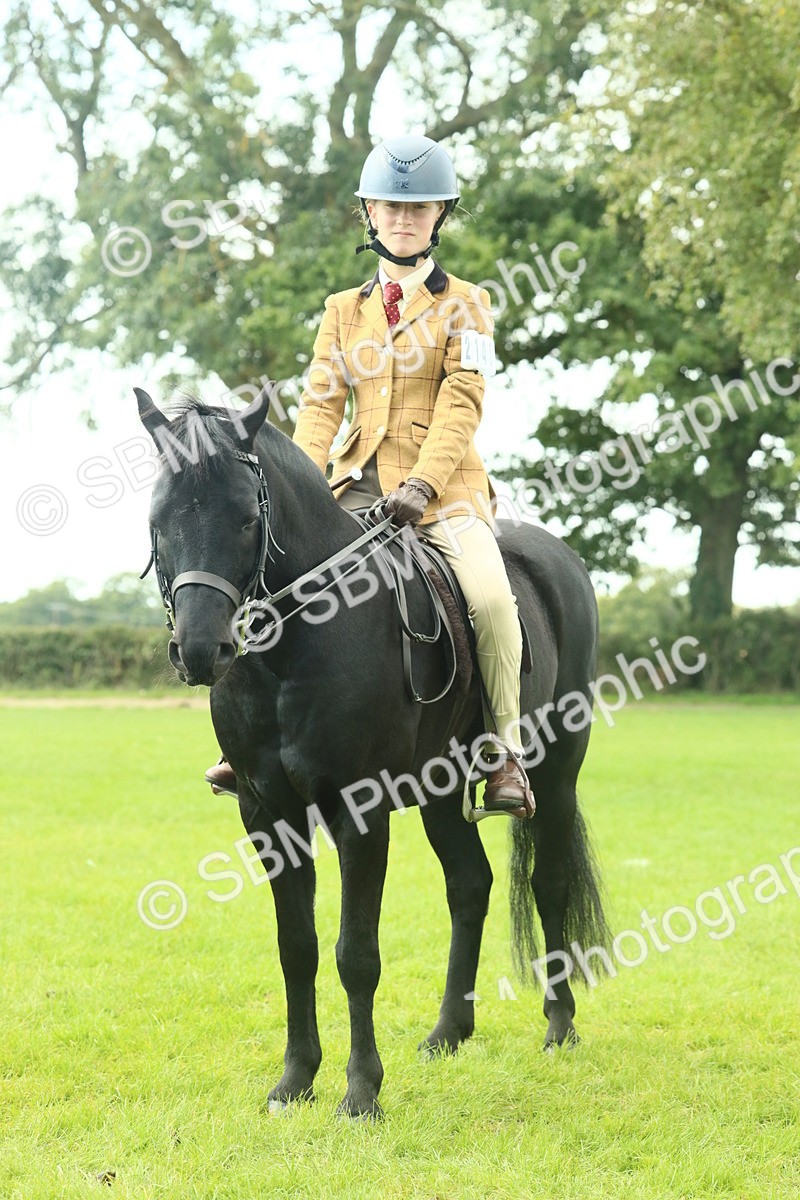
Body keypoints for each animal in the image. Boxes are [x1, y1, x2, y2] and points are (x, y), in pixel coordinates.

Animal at [136, 385, 610, 1119]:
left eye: (246, 519)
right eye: (160, 519)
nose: (199, 650)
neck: (294, 645)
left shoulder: (360, 810)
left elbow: (355, 952)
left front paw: (360, 1092)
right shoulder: (266, 813)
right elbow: (296, 947)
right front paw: (295, 1079)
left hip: (557, 773)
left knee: (548, 882)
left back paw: (559, 1025)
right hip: (440, 791)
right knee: (469, 885)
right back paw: (449, 1031)